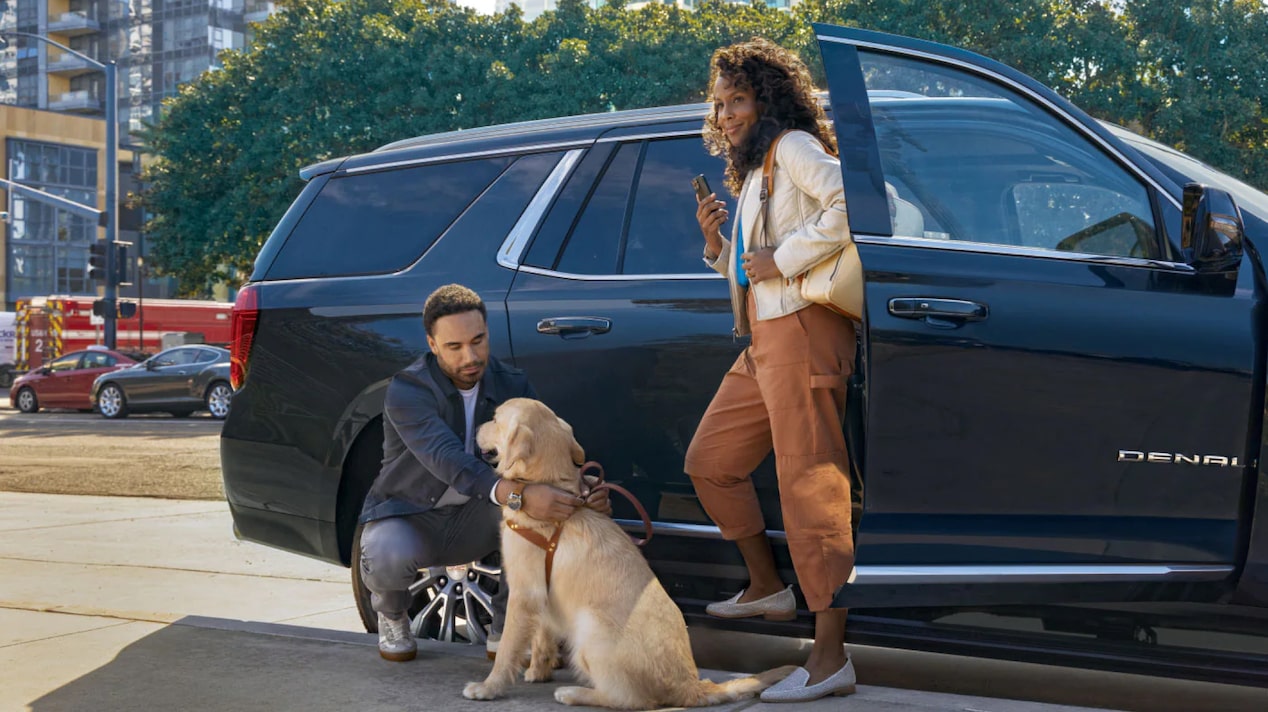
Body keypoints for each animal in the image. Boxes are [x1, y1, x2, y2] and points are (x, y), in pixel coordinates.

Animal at [461, 395, 791, 704]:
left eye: (495, 419)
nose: (476, 426)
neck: (551, 487)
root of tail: (692, 686)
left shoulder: (523, 592)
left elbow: (507, 648)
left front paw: (488, 687)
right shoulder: (541, 592)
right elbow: (542, 637)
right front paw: (538, 671)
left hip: (589, 626)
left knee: (631, 699)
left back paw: (574, 693)